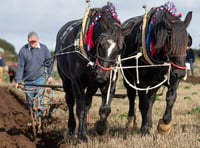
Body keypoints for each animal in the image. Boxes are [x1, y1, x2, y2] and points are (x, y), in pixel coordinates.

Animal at [54, 2, 122, 143]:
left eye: (119, 49)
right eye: (100, 44)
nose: (102, 76)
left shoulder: (104, 82)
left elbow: (103, 109)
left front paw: (101, 128)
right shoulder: (76, 81)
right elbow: (80, 109)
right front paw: (81, 137)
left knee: (87, 104)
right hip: (66, 80)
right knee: (70, 101)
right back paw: (72, 128)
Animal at [120, 3, 192, 135]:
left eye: (187, 42)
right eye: (171, 42)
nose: (180, 73)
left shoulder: (172, 76)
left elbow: (171, 98)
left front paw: (165, 124)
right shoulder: (141, 80)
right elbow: (143, 103)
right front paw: (144, 128)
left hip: (155, 81)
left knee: (151, 98)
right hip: (127, 75)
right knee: (131, 95)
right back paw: (131, 121)